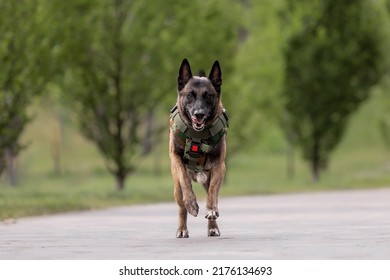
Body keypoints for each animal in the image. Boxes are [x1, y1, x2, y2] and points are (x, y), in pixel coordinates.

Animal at [168, 59, 229, 238]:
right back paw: (182, 229)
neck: (197, 134)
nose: (199, 114)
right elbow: (185, 181)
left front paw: (211, 210)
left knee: (211, 192)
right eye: (190, 95)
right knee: (181, 206)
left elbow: (213, 191)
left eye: (208, 95)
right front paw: (191, 204)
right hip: (176, 188)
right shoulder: (176, 157)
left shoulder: (218, 166)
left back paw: (213, 227)